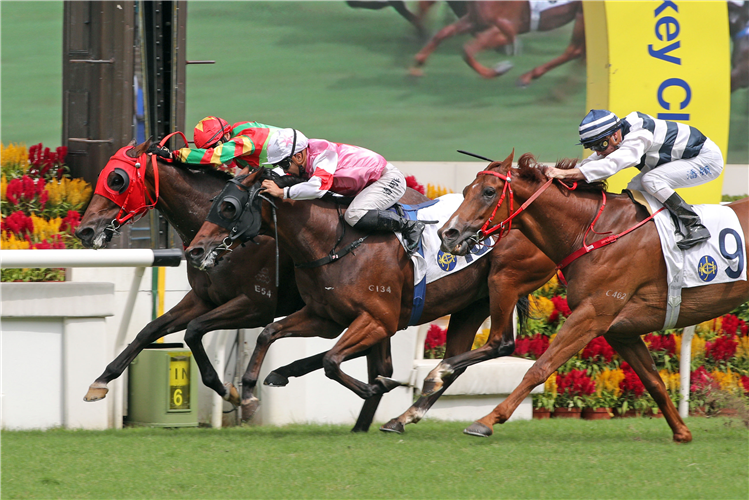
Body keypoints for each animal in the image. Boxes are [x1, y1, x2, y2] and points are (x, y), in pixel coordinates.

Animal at [181, 168, 556, 434]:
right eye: (214, 202)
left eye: (228, 207)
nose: (195, 250)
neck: (333, 242)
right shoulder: (324, 316)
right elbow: (268, 333)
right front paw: (248, 393)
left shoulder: (377, 319)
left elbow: (333, 361)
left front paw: (371, 387)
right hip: (469, 305)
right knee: (453, 363)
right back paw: (401, 415)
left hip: (502, 282)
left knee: (499, 344)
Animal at [410, 0, 584, 85]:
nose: (418, 17)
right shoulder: (475, 21)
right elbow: (442, 34)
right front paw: (416, 68)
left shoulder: (507, 30)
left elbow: (467, 50)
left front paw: (499, 69)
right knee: (576, 51)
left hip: (581, 14)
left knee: (574, 50)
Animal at [438, 151, 748, 442]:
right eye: (465, 190)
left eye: (489, 192)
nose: (448, 234)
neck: (595, 234)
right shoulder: (620, 331)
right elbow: (653, 381)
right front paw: (681, 432)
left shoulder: (592, 315)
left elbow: (540, 368)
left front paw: (486, 420)